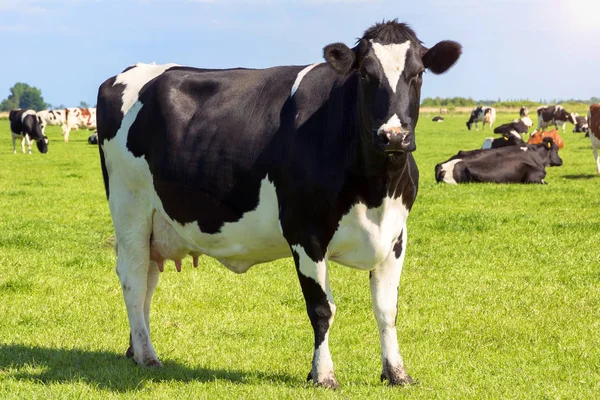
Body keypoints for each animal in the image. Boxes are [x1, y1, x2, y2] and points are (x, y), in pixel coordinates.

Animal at [97, 19, 464, 388]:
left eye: (418, 74)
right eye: (364, 74)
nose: (393, 136)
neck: (376, 191)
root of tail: (130, 71)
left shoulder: (396, 236)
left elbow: (387, 309)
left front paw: (397, 372)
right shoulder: (306, 234)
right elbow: (322, 309)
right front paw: (323, 374)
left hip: (156, 224)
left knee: (147, 277)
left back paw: (135, 349)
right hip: (129, 206)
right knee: (132, 277)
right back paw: (148, 355)